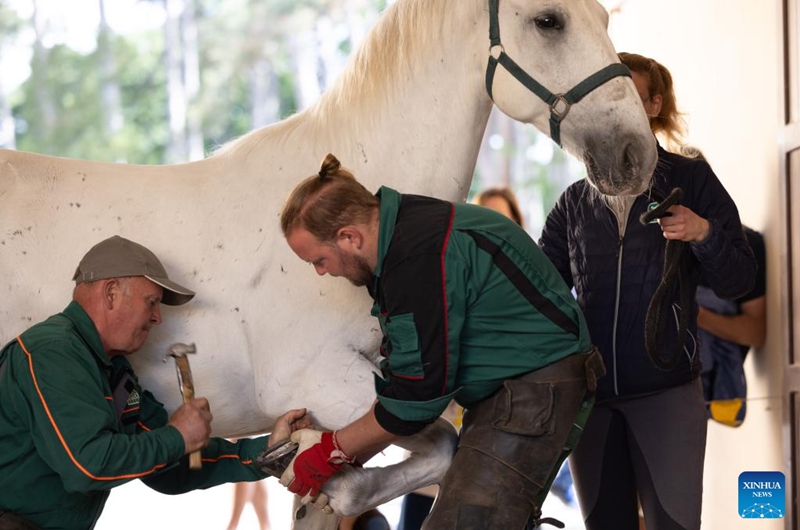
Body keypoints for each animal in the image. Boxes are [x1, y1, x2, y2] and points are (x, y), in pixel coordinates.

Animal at [0, 0, 656, 527]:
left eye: (605, 17)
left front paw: (326, 484)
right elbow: (440, 443)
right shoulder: (318, 377)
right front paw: (335, 486)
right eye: (549, 21)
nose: (636, 155)